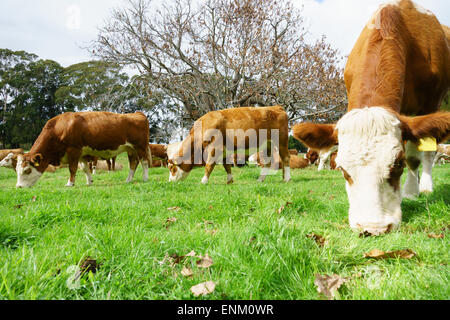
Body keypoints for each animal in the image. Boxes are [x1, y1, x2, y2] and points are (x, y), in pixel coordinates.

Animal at [14, 112, 152, 189]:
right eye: (17, 170)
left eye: (27, 170)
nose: (19, 187)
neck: (59, 128)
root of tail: (137, 113)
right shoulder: (81, 154)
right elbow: (85, 168)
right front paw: (89, 182)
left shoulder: (73, 151)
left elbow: (72, 169)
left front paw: (70, 183)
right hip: (130, 149)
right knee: (133, 163)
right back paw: (128, 180)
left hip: (140, 147)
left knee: (144, 162)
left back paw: (145, 178)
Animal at [290, 0, 448, 235]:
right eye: (342, 168)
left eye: (398, 163)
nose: (373, 228)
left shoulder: (430, 104)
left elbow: (419, 154)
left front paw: (415, 191)